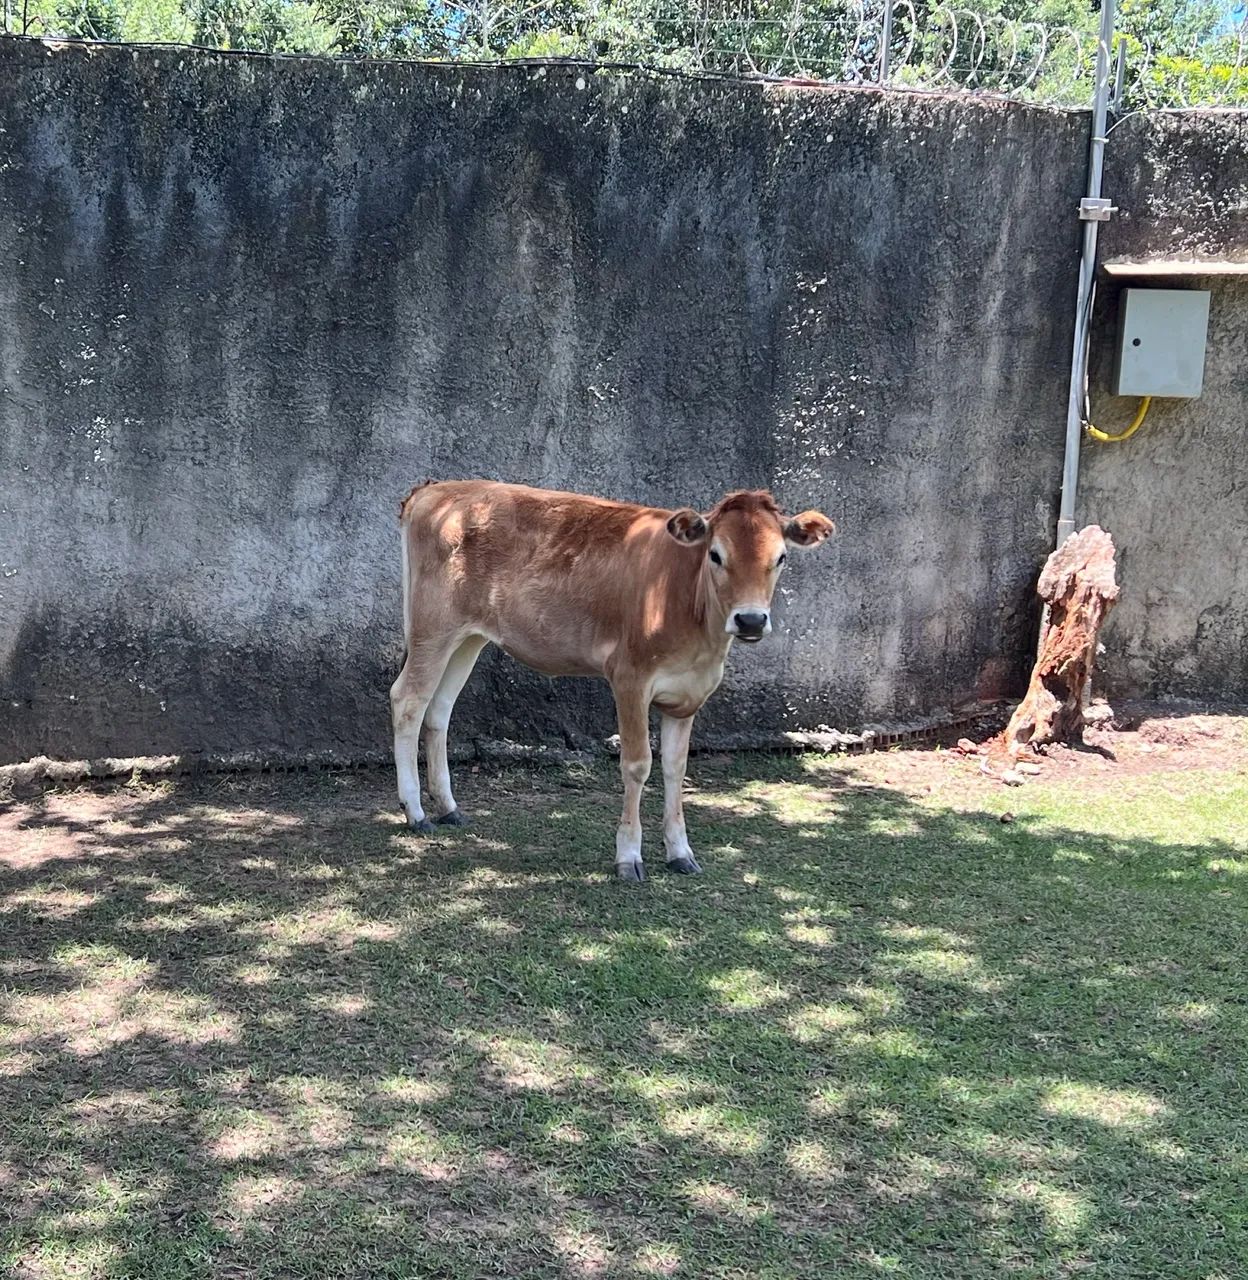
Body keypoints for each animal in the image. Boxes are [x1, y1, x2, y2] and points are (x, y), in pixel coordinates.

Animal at [390, 481, 835, 882]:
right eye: (715, 554)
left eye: (781, 557)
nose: (751, 620)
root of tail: (435, 490)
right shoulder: (629, 678)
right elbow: (637, 765)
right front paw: (628, 857)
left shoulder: (689, 694)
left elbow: (676, 768)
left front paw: (681, 853)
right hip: (434, 626)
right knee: (408, 701)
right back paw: (416, 812)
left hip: (470, 636)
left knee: (439, 709)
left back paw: (448, 807)